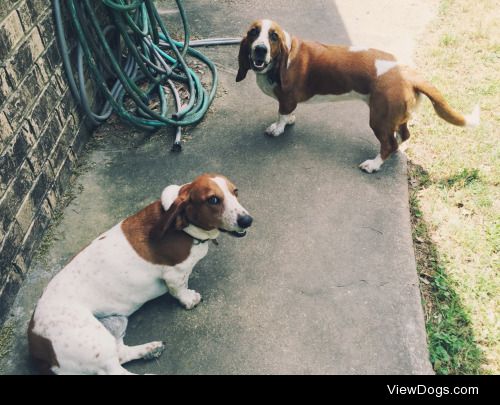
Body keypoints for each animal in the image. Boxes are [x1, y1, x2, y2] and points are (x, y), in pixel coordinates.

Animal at [28, 172, 252, 374]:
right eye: (213, 200)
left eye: (235, 192)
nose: (247, 220)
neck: (184, 227)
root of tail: (37, 347)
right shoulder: (175, 275)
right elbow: (180, 290)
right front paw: (189, 299)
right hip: (96, 344)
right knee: (115, 371)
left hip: (116, 324)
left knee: (120, 353)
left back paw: (150, 349)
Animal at [238, 19, 480, 171]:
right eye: (253, 33)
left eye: (273, 36)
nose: (260, 49)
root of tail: (409, 74)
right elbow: (287, 114)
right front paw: (288, 121)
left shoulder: (286, 99)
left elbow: (281, 115)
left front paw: (278, 128)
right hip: (396, 117)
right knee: (402, 135)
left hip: (379, 119)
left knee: (389, 144)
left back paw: (373, 164)